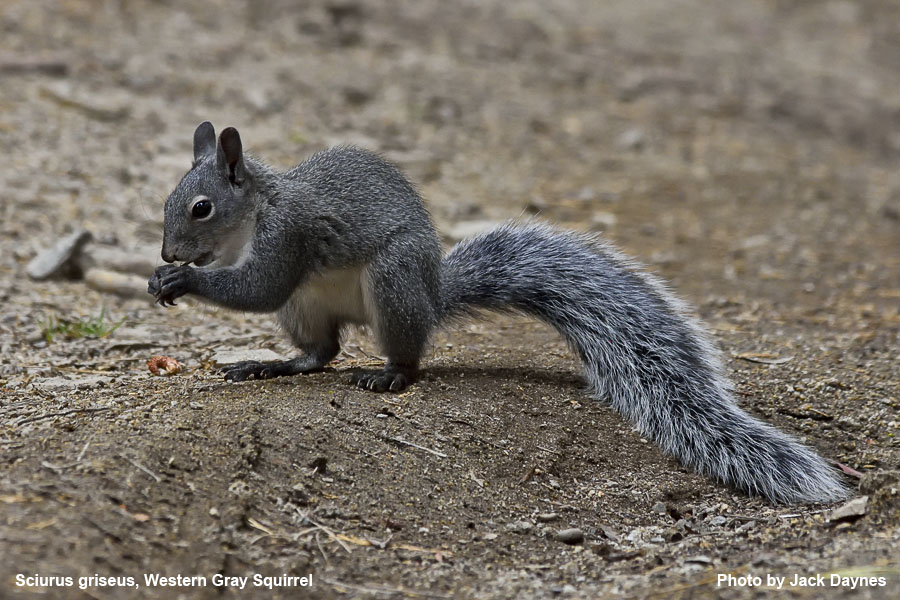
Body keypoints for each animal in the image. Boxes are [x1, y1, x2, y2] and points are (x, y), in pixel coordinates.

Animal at [149, 121, 848, 504]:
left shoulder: (288, 236)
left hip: (392, 284)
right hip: (307, 307)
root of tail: (434, 294)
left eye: (201, 207)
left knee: (402, 353)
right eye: (168, 199)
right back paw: (271, 365)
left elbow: (259, 287)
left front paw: (185, 278)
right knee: (321, 351)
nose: (166, 251)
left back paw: (389, 375)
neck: (258, 206)